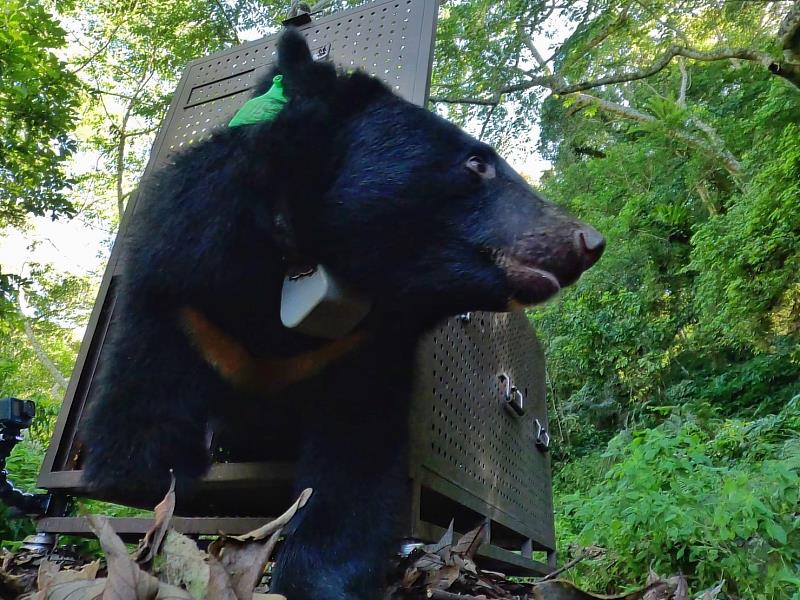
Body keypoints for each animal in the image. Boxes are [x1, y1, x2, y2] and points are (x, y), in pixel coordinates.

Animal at [81, 27, 608, 600]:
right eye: (476, 163)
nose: (589, 241)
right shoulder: (186, 290)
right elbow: (140, 422)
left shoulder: (363, 350)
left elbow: (355, 463)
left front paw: (319, 576)